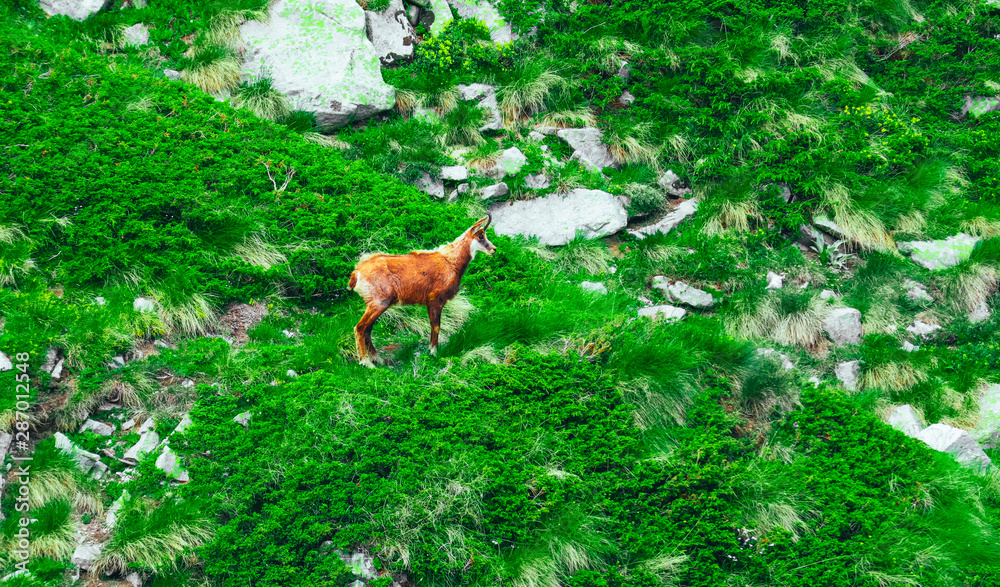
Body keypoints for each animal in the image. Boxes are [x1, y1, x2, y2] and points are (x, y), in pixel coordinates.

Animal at [348, 215, 496, 367]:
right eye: (480, 236)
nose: (494, 249)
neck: (450, 262)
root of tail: (357, 273)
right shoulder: (435, 300)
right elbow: (436, 326)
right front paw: (433, 353)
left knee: (367, 330)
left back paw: (379, 360)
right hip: (379, 303)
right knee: (360, 328)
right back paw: (367, 363)